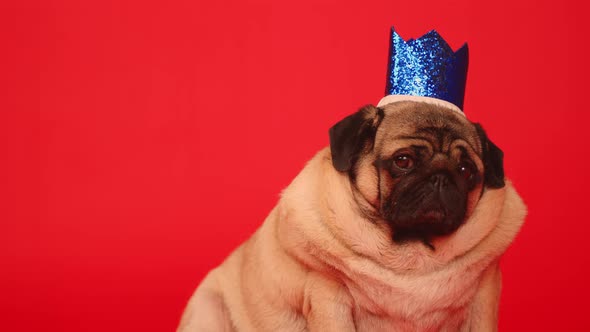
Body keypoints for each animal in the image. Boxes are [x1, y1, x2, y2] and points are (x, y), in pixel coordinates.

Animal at [178, 100, 528, 330]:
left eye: (467, 170)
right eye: (403, 161)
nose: (441, 177)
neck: (412, 253)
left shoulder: (483, 300)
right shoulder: (329, 300)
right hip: (209, 310)